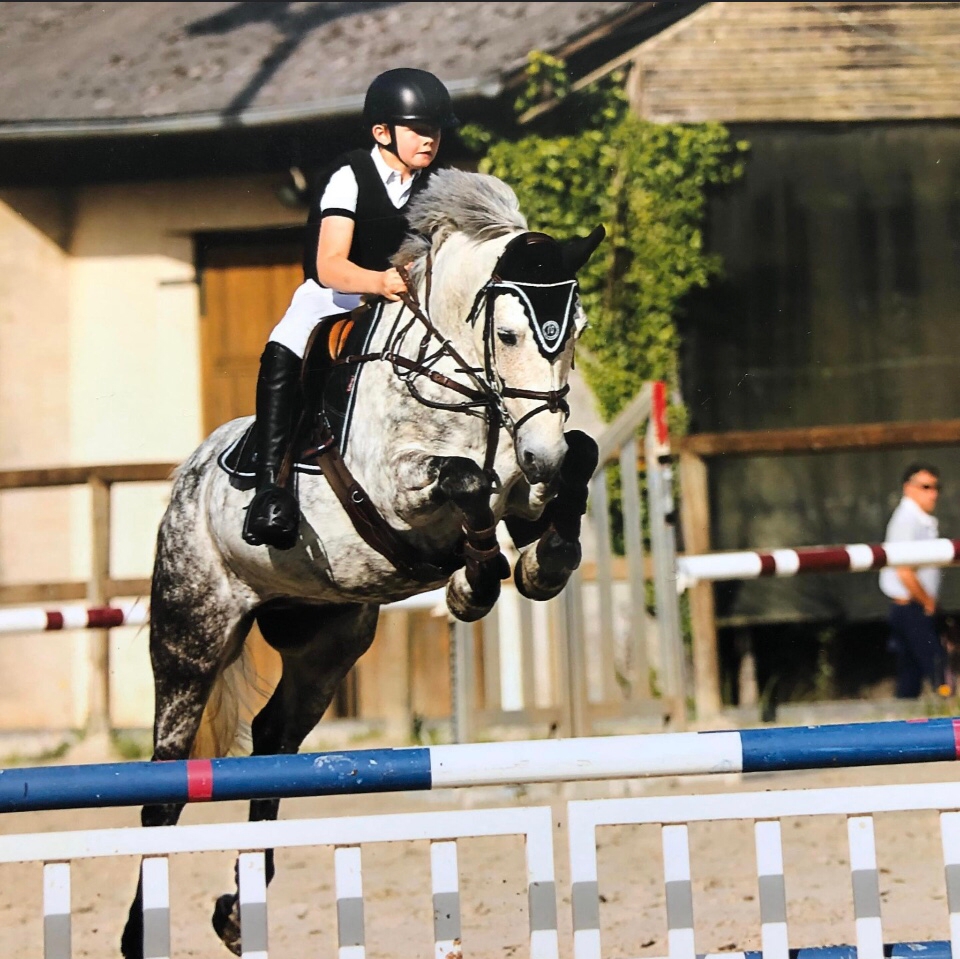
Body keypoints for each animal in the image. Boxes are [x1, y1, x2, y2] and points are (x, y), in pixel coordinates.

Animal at [120, 167, 604, 958]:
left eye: (578, 334)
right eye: (506, 334)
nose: (541, 453)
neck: (464, 389)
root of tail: (185, 478)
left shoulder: (528, 478)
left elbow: (575, 465)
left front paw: (545, 559)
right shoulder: (401, 489)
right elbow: (466, 482)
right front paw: (474, 583)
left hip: (329, 643)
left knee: (273, 741)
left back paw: (238, 911)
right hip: (192, 635)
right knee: (165, 783)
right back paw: (142, 934)